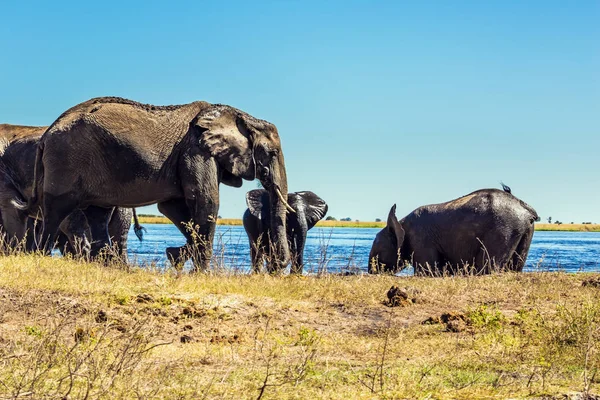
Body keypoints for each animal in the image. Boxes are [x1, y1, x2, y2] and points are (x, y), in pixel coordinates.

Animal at [14, 97, 292, 272]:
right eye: (272, 152)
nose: (277, 265)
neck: (238, 115)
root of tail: (47, 133)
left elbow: (174, 207)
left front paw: (175, 256)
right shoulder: (196, 149)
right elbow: (205, 201)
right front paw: (200, 272)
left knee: (98, 214)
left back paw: (109, 267)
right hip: (66, 160)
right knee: (56, 209)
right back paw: (40, 257)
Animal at [368, 187, 540, 276]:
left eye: (377, 246)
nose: (371, 272)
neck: (401, 222)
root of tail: (525, 208)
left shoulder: (420, 239)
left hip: (503, 229)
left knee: (488, 267)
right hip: (523, 230)